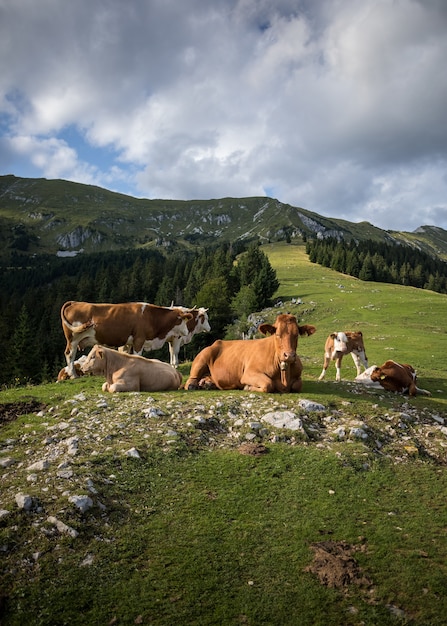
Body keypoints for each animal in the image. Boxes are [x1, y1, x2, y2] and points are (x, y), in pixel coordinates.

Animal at [60, 300, 192, 378]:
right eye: (183, 320)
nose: (186, 332)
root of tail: (74, 302)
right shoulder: (139, 339)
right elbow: (138, 356)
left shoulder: (130, 342)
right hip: (73, 338)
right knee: (69, 354)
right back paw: (73, 375)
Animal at [184, 314, 316, 392]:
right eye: (277, 334)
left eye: (296, 335)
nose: (289, 355)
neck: (284, 377)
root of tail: (216, 342)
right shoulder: (248, 373)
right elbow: (268, 384)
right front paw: (248, 387)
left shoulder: (297, 377)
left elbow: (297, 385)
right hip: (202, 358)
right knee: (190, 381)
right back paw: (193, 385)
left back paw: (207, 384)